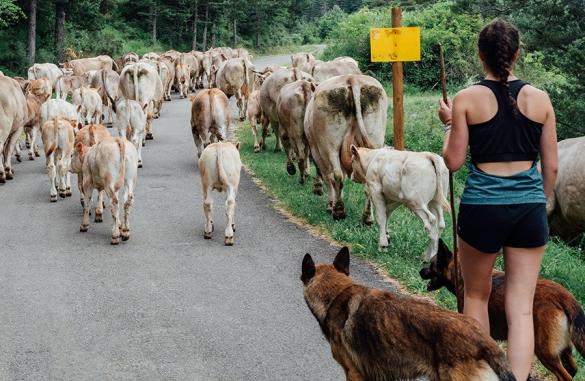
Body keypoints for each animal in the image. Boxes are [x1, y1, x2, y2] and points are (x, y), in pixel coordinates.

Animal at [304, 73, 386, 220]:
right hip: (375, 138)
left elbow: (328, 177)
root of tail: (352, 78)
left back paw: (338, 211)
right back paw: (367, 218)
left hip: (329, 145)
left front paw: (330, 205)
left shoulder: (316, 150)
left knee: (336, 176)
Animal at [420, 239, 584, 378]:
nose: (420, 271)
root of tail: (565, 297)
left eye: (431, 264)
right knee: (573, 369)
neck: (459, 273)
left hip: (545, 352)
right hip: (563, 349)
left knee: (565, 375)